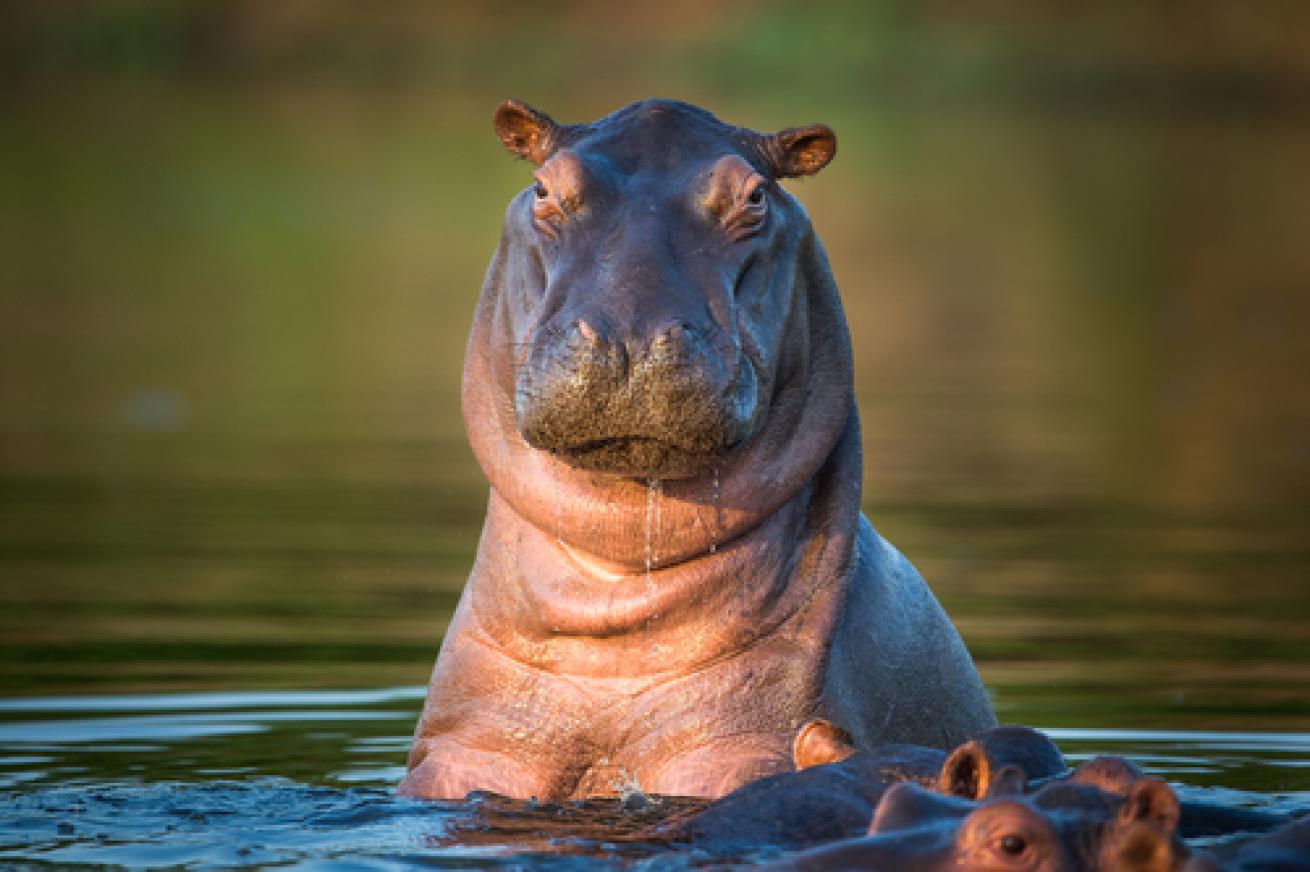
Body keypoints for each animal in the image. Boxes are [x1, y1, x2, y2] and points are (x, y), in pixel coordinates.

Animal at [398, 98, 990, 796]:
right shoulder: (466, 752)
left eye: (756, 195)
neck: (617, 589)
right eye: (544, 188)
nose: (628, 335)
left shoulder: (743, 749)